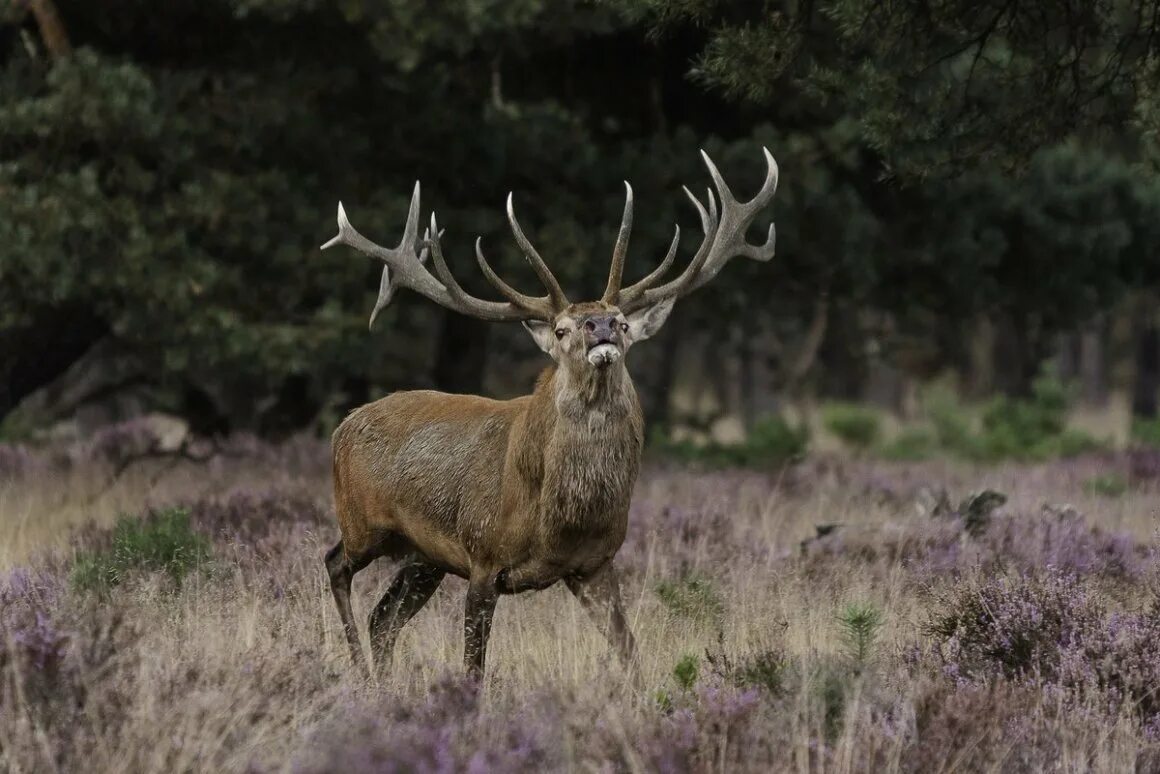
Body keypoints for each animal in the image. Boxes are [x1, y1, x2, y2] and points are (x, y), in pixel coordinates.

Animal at [320, 145, 779, 677]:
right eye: (561, 330)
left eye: (623, 323)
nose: (600, 325)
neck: (557, 520)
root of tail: (343, 426)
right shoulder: (482, 555)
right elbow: (473, 669)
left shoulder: (596, 564)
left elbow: (630, 653)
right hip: (363, 522)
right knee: (336, 566)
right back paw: (356, 666)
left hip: (422, 558)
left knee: (384, 618)